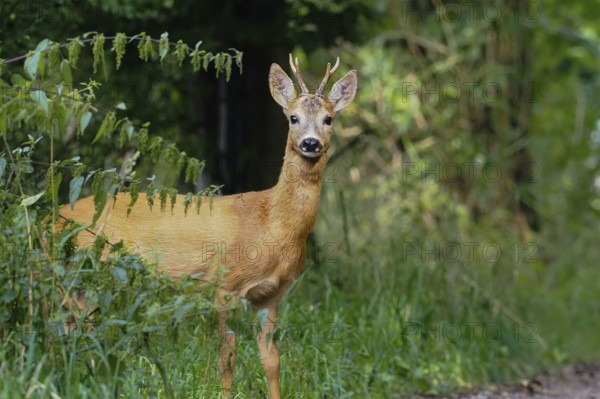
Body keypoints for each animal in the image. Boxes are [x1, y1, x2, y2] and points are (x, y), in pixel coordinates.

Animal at [62, 54, 356, 398]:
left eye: (328, 119)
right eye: (293, 118)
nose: (310, 143)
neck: (271, 225)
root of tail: (50, 217)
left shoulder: (271, 295)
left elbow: (272, 359)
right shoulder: (222, 283)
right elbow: (226, 356)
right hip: (83, 270)